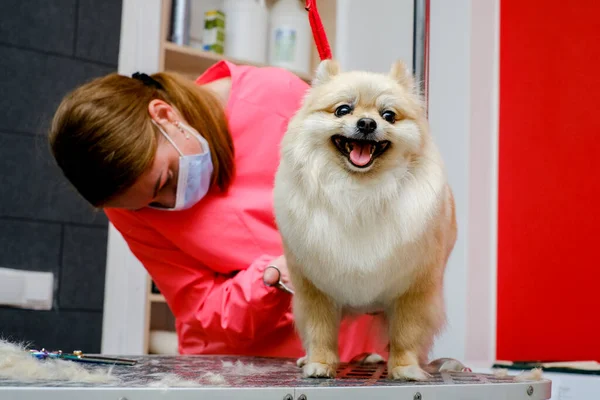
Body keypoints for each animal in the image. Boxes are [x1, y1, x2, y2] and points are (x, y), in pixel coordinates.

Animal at [274, 57, 458, 380]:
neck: (360, 192)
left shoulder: (414, 288)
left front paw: (406, 368)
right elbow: (320, 330)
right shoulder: (314, 287)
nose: (367, 123)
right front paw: (319, 363)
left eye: (388, 116)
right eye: (343, 110)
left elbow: (406, 333)